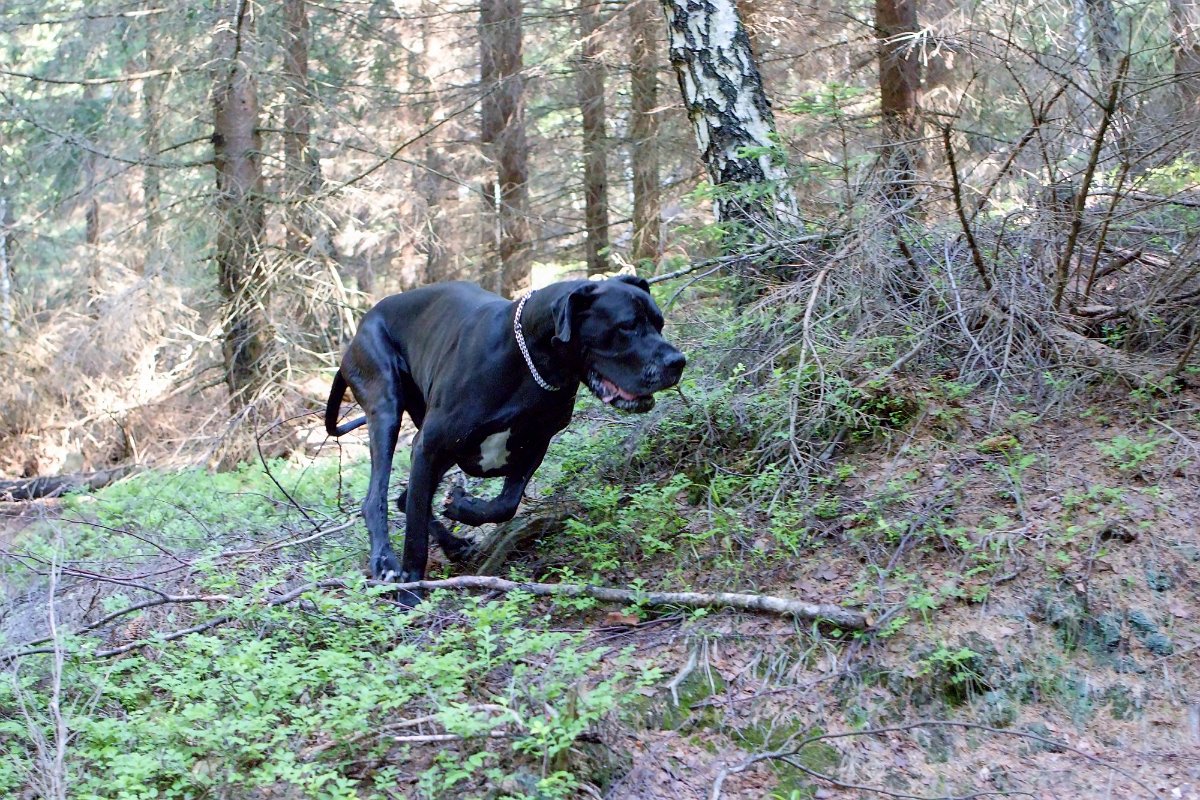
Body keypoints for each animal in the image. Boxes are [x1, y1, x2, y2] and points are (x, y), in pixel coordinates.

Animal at [326, 277, 686, 606]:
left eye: (659, 323)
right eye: (627, 326)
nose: (677, 362)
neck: (531, 362)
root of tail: (360, 327)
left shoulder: (535, 444)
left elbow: (505, 504)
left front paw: (462, 505)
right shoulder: (429, 445)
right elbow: (414, 532)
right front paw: (411, 588)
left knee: (406, 498)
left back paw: (453, 544)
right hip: (386, 403)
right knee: (378, 498)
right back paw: (386, 561)